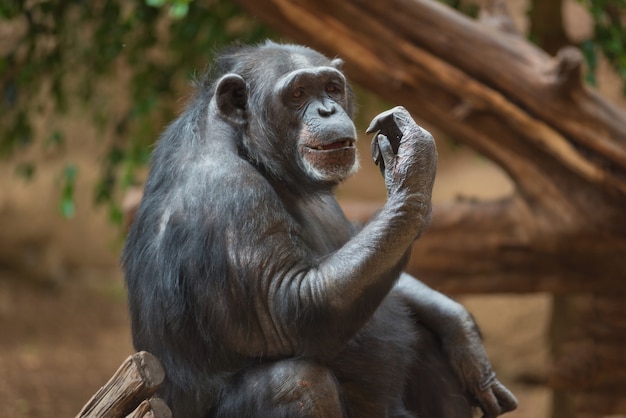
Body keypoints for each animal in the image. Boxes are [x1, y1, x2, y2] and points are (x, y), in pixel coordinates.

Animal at [122, 40, 516, 418]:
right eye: (297, 94)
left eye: (331, 87)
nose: (327, 110)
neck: (248, 146)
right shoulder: (228, 193)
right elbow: (290, 303)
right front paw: (413, 161)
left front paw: (458, 326)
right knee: (297, 382)